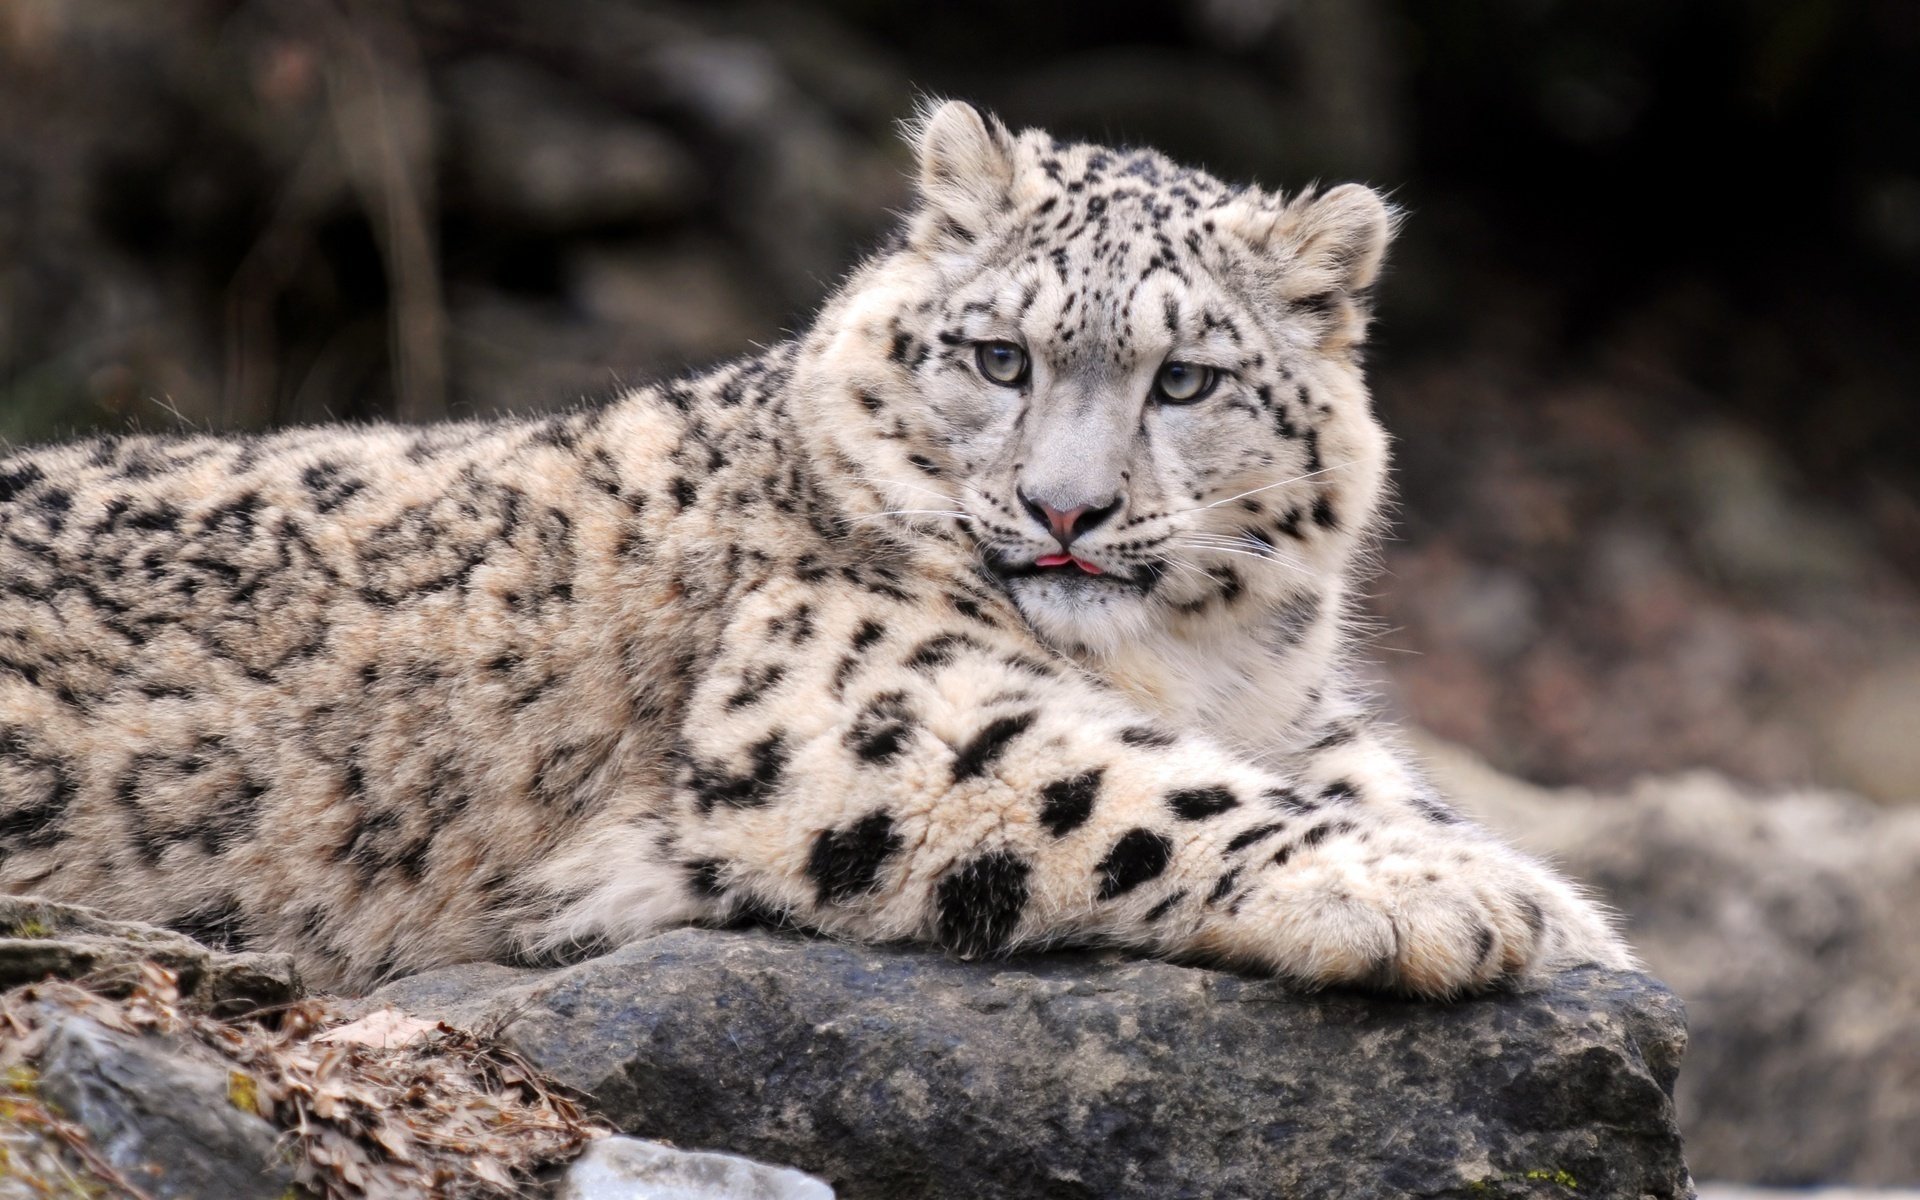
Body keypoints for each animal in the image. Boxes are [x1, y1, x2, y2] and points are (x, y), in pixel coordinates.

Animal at [0, 101, 1630, 995]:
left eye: (1185, 381)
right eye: (996, 356)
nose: (1067, 511)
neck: (1190, 667)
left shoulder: (1295, 713)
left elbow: (1366, 775)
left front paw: (1548, 906)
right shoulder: (847, 692)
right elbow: (1138, 786)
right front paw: (1467, 899)